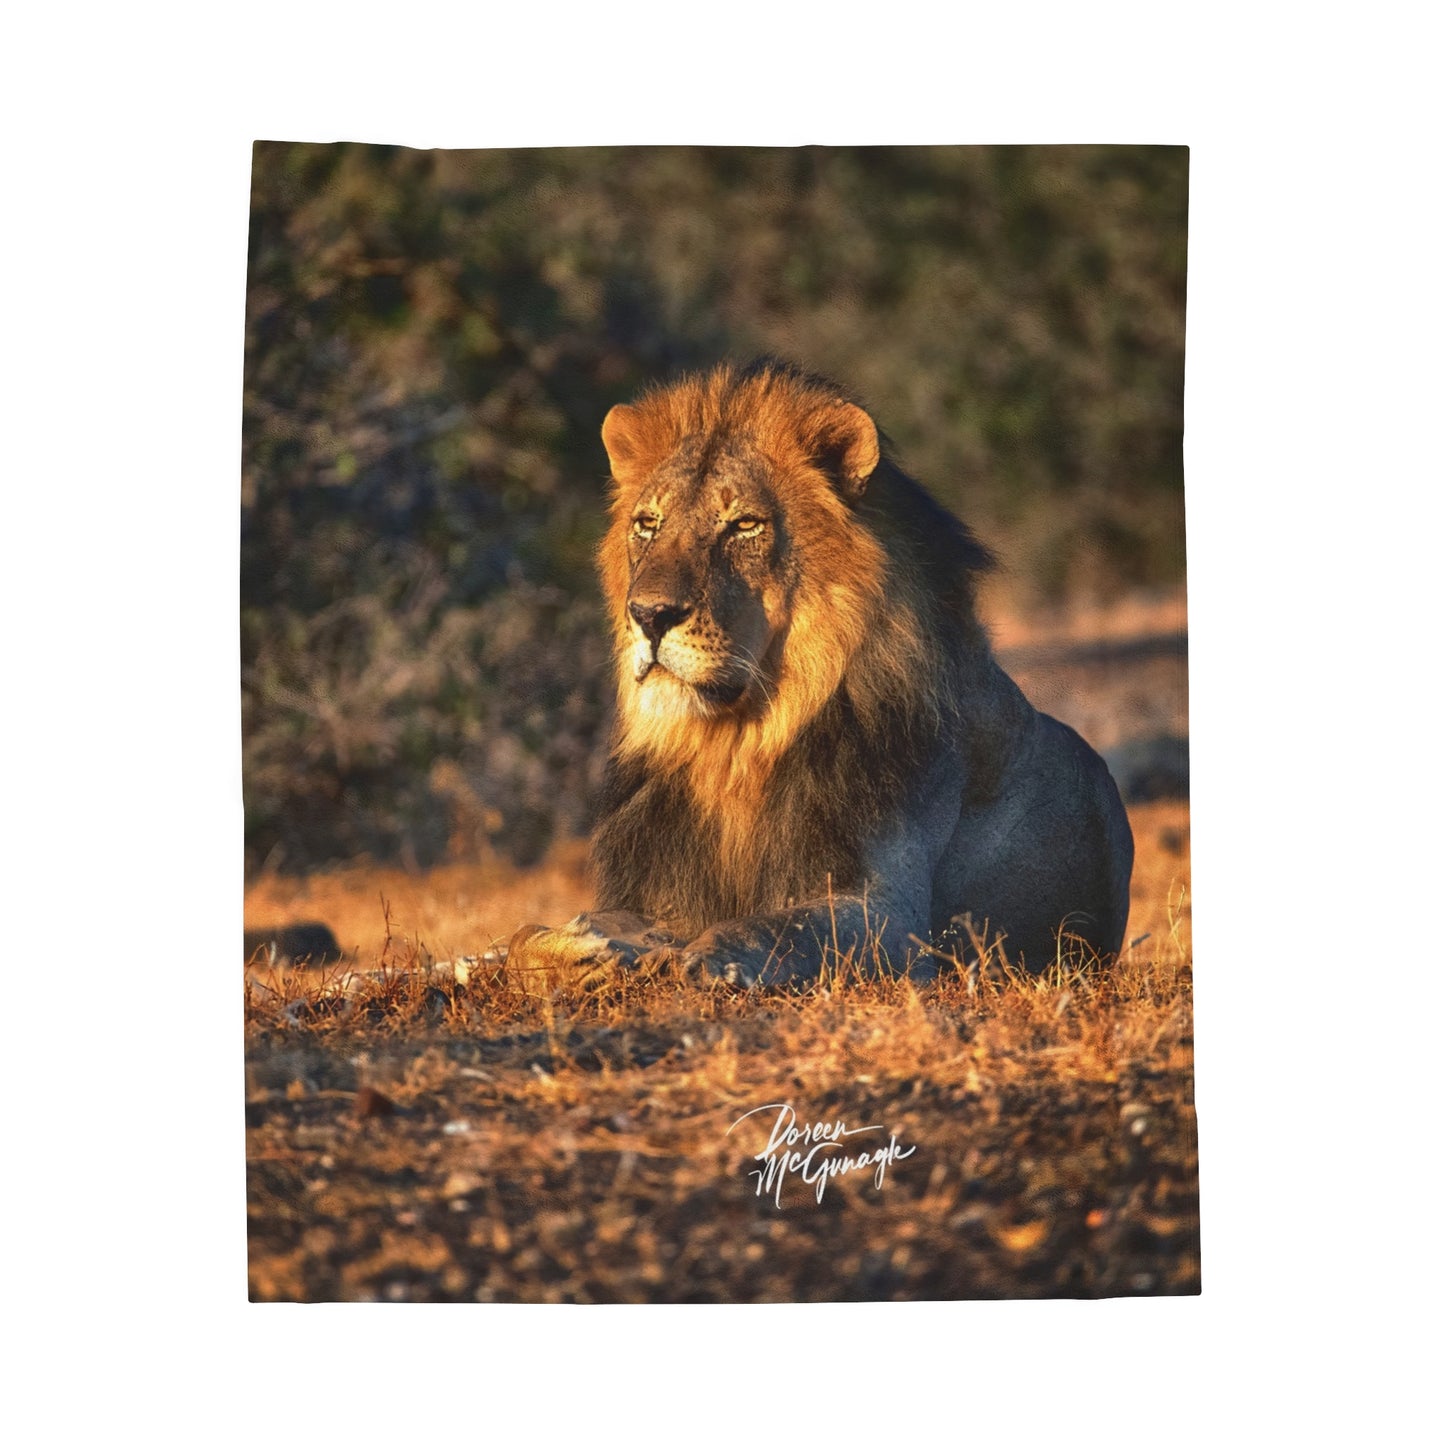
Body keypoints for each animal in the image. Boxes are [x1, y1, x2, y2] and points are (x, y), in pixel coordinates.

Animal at [507, 360, 1133, 991]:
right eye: (647, 523)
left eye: (744, 525)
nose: (649, 614)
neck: (734, 746)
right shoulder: (657, 892)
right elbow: (521, 936)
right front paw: (581, 945)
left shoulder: (894, 916)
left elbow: (774, 927)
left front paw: (707, 960)